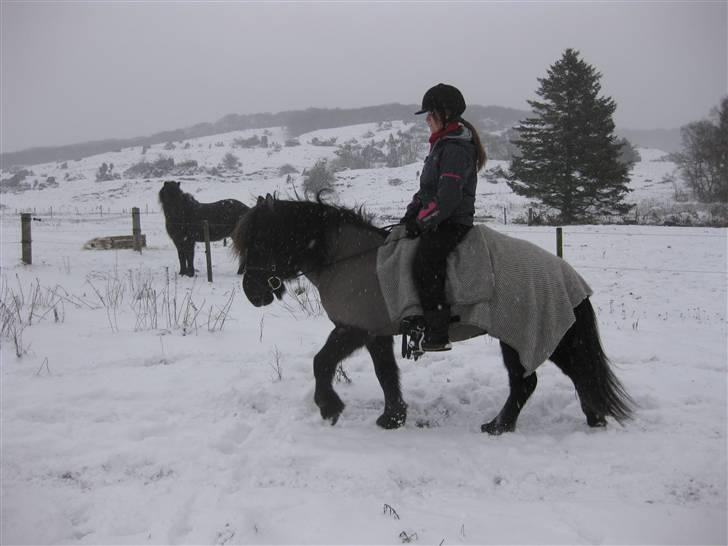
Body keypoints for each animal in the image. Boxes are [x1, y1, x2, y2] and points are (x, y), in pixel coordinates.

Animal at [233, 193, 632, 432]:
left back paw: (499, 426)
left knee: (532, 381)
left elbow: (322, 362)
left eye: (261, 241)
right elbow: (386, 374)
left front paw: (329, 407)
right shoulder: (376, 333)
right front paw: (392, 417)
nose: (252, 292)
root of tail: (567, 274)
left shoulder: (354, 328)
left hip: (525, 334)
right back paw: (591, 418)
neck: (350, 259)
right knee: (573, 375)